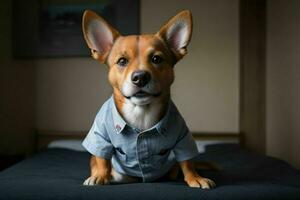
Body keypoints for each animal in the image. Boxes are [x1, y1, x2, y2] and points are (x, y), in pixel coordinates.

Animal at [81, 9, 214, 188]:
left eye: (156, 59)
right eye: (122, 61)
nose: (140, 77)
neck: (141, 111)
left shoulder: (182, 136)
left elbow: (187, 161)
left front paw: (194, 177)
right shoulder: (99, 135)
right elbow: (102, 159)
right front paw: (100, 176)